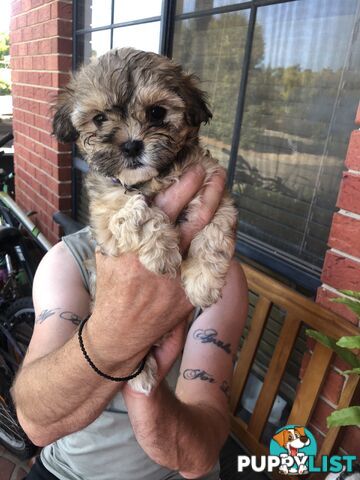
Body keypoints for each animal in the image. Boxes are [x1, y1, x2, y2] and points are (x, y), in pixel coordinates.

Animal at [52, 47, 236, 394]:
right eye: (100, 118)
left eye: (156, 112)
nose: (131, 144)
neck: (153, 179)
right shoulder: (106, 217)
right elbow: (135, 208)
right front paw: (162, 252)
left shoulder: (213, 186)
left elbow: (215, 231)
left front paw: (203, 280)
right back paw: (142, 372)